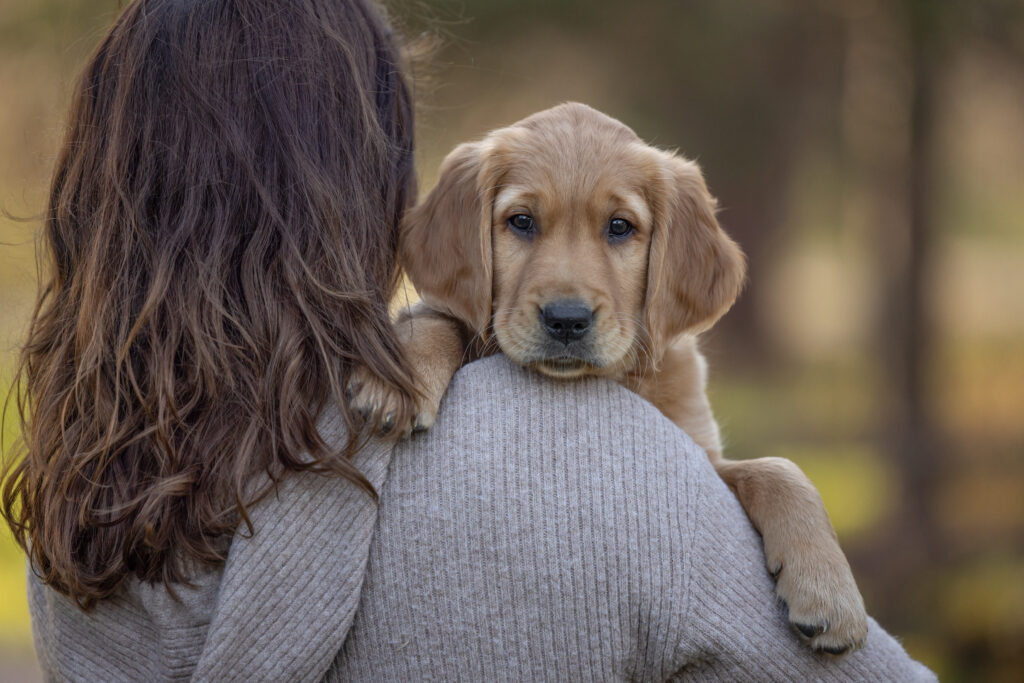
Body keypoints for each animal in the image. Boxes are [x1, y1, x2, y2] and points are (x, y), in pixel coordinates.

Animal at [350, 101, 864, 651]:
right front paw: (399, 377)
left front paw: (830, 589)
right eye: (521, 221)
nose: (566, 320)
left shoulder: (700, 455)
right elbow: (439, 317)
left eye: (620, 227)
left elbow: (777, 468)